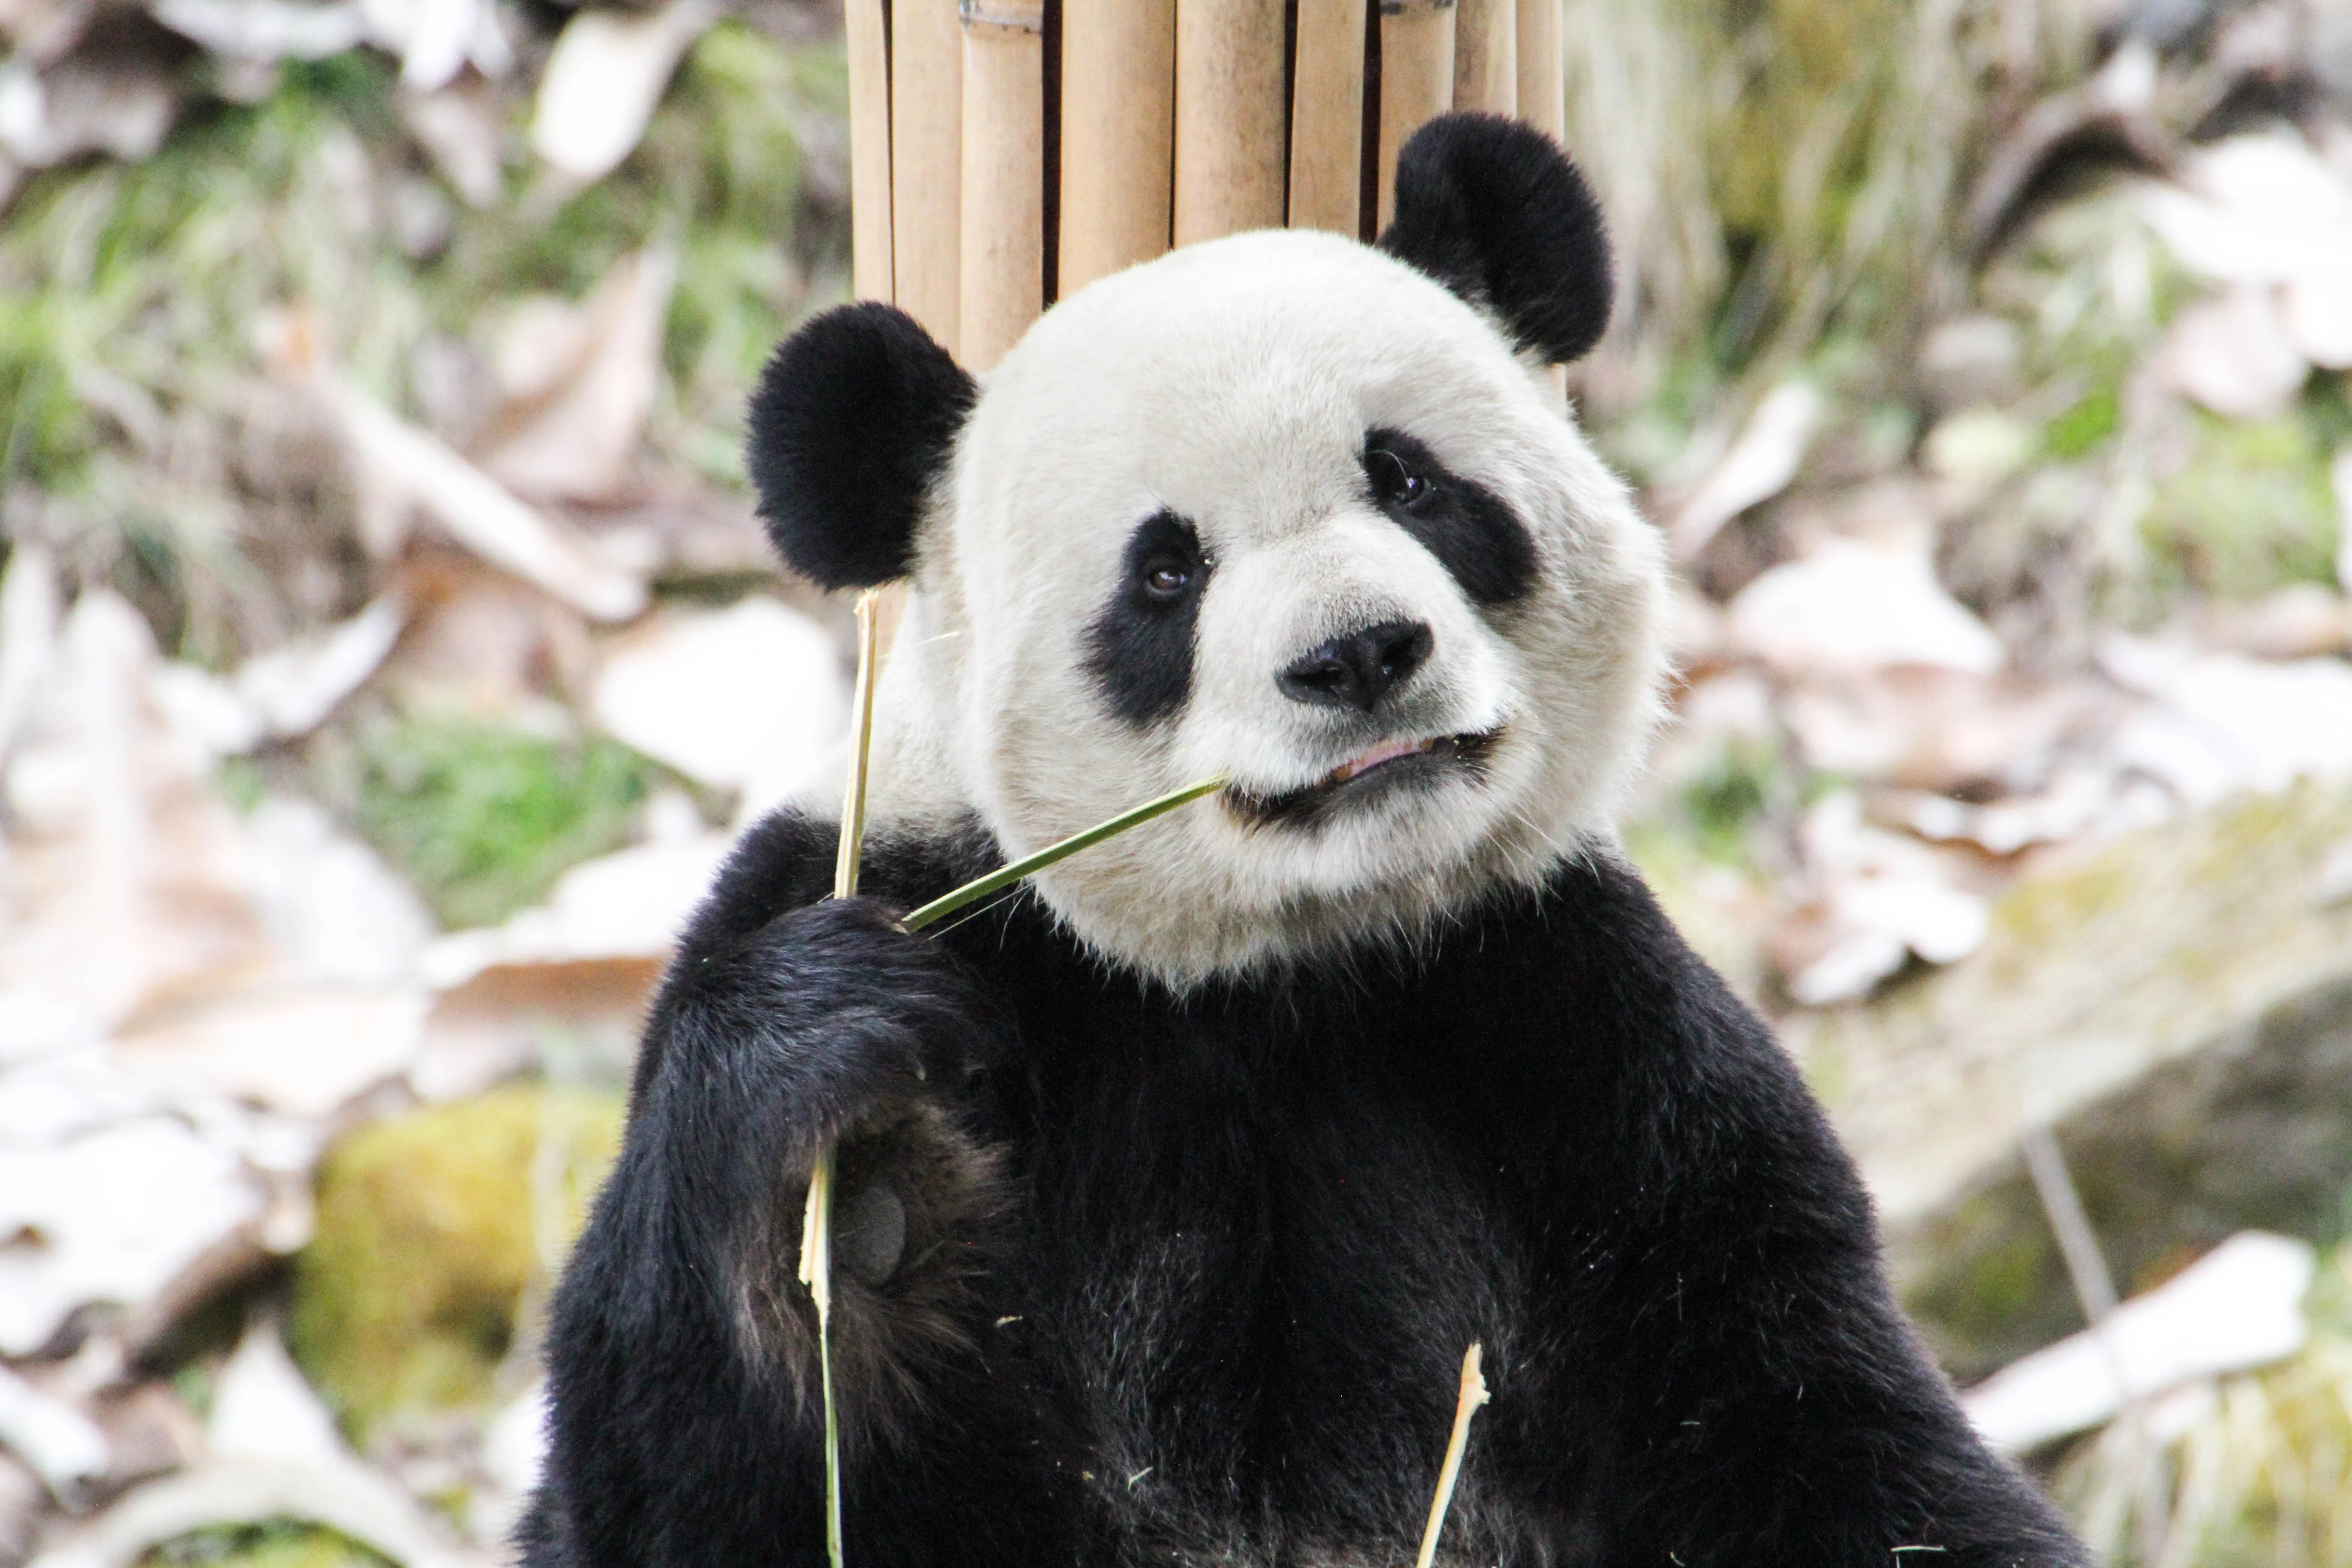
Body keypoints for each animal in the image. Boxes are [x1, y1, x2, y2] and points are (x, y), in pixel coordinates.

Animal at [523, 115, 2085, 1567]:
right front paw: (851, 1178)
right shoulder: (950, 929)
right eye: (1167, 571)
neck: (1274, 971)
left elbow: (1822, 1430)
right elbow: (689, 1488)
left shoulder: (1572, 1026)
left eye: (1410, 482)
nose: (1359, 656)